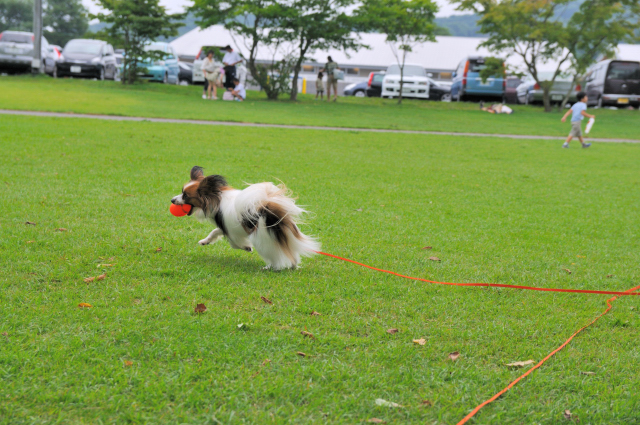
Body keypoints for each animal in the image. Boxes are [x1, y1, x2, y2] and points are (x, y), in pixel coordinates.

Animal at [171, 166, 320, 270]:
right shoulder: (225, 227)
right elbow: (215, 232)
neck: (216, 198)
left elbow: (234, 243)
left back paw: (270, 267)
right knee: (291, 255)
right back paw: (292, 266)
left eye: (185, 196)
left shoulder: (231, 232)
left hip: (263, 240)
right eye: (182, 192)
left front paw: (246, 247)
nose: (172, 200)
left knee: (275, 256)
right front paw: (205, 241)